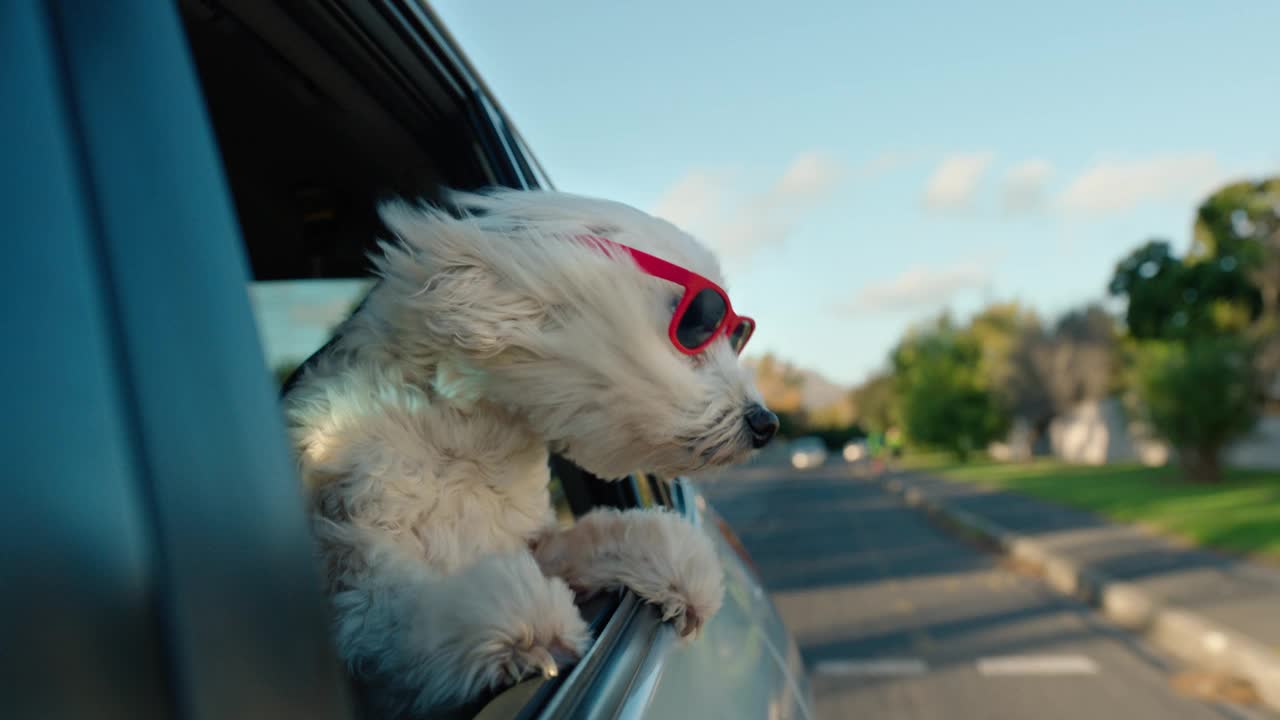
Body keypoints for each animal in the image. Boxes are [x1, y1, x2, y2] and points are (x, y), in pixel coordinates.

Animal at [284, 188, 773, 712]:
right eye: (697, 328)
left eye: (737, 334)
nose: (767, 423)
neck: (472, 442)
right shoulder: (356, 572)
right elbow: (396, 613)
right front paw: (521, 632)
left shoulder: (535, 542)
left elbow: (603, 537)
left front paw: (681, 568)